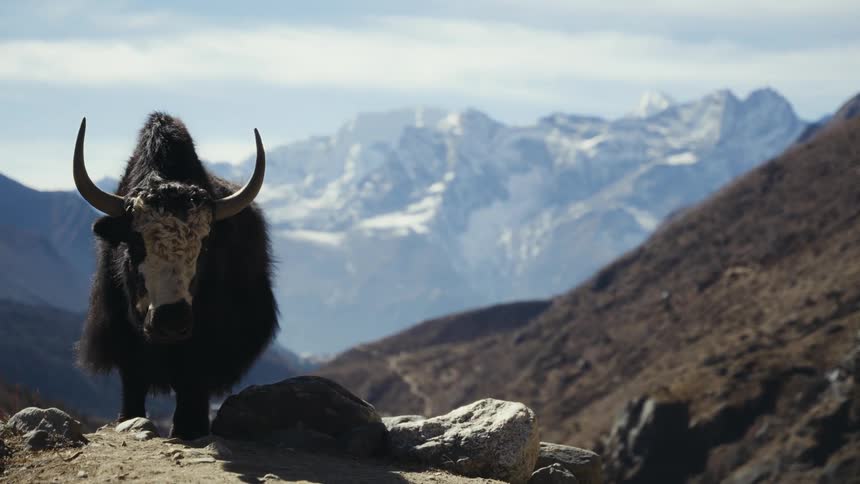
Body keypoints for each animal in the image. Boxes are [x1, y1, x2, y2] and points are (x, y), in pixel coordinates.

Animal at [75, 112, 278, 439]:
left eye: (204, 246)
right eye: (135, 243)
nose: (171, 322)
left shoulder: (204, 342)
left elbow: (192, 388)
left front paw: (189, 429)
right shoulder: (125, 342)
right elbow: (133, 389)